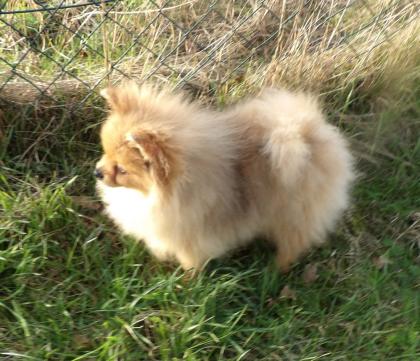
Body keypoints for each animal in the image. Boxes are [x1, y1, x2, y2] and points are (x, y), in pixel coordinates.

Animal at [96, 82, 354, 270]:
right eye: (104, 151)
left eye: (122, 170)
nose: (97, 172)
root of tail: (308, 135)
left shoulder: (190, 238)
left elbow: (190, 263)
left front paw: (187, 282)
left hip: (294, 214)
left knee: (294, 242)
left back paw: (277, 268)